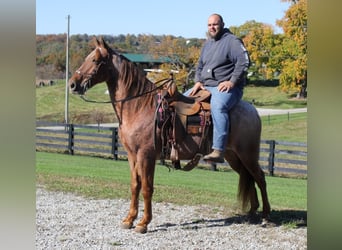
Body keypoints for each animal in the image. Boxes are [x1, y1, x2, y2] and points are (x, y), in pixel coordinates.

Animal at [69, 37, 270, 234]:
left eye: (95, 60)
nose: (72, 84)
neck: (139, 106)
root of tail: (252, 110)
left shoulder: (146, 155)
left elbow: (147, 188)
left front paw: (143, 223)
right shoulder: (132, 155)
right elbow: (135, 185)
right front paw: (129, 219)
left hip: (248, 154)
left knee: (260, 178)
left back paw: (266, 216)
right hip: (233, 156)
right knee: (248, 177)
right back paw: (252, 212)